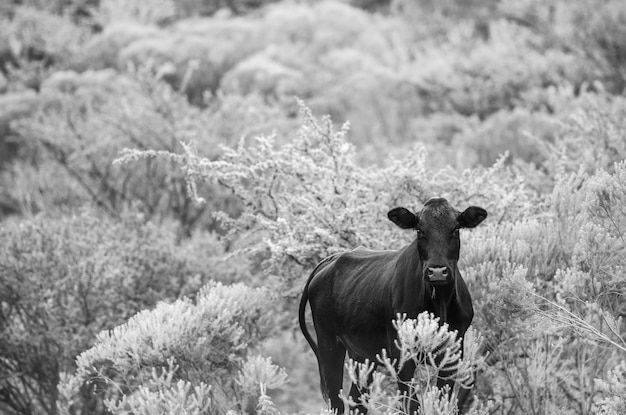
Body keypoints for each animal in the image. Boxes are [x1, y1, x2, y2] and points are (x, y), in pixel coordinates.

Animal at [298, 198, 488, 412]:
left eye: (455, 229)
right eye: (419, 230)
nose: (437, 271)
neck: (439, 304)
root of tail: (331, 259)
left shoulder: (452, 354)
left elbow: (442, 402)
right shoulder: (401, 356)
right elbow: (411, 404)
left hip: (361, 353)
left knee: (356, 400)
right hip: (328, 343)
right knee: (336, 401)